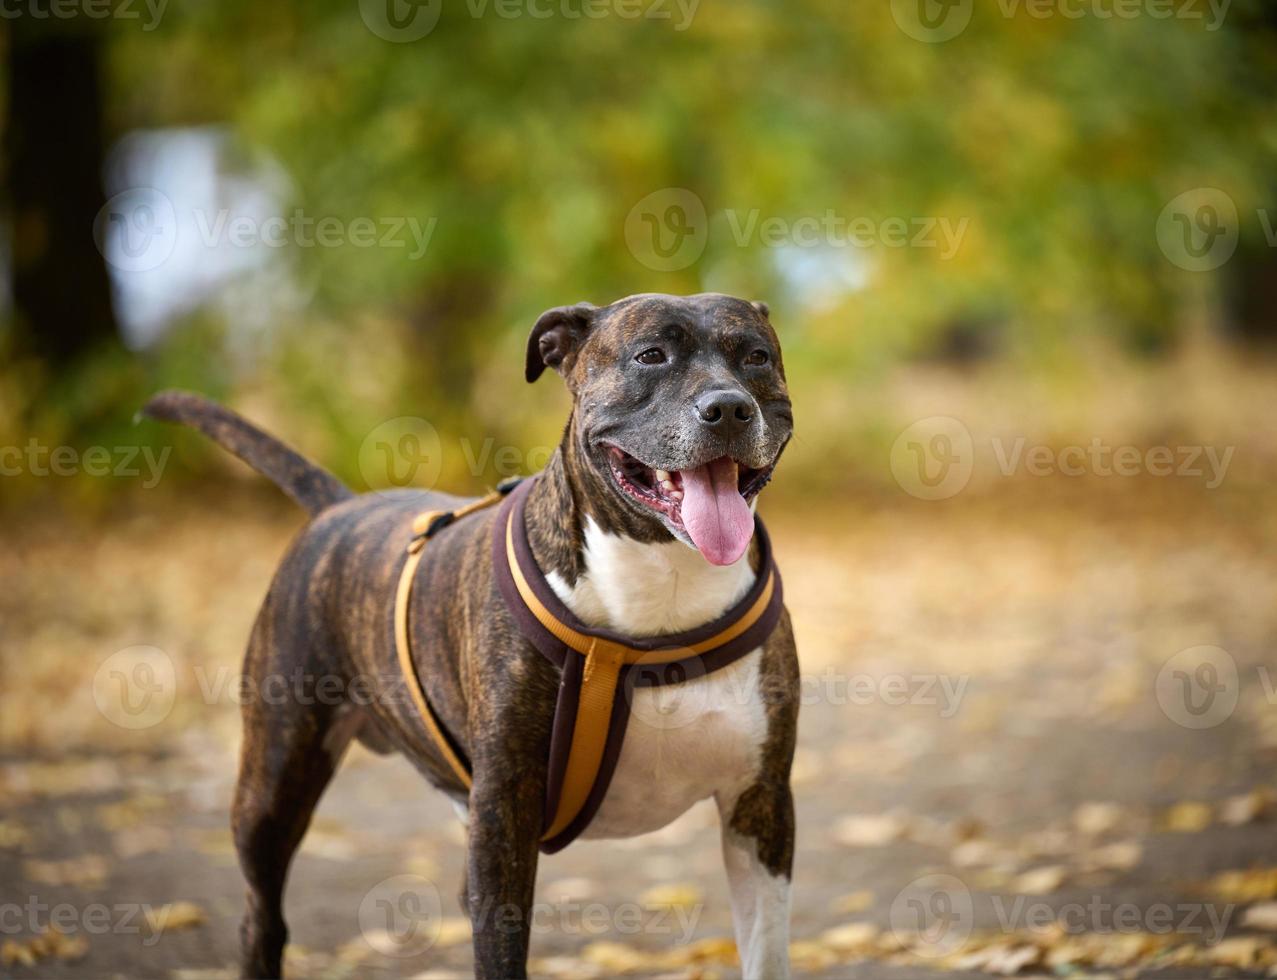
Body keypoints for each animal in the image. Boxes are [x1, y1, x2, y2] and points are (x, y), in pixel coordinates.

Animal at [142, 293, 796, 980]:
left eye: (756, 356)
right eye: (650, 356)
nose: (728, 407)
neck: (662, 582)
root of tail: (339, 507)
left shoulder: (760, 805)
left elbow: (766, 948)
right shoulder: (503, 813)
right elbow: (499, 950)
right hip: (273, 782)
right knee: (261, 915)